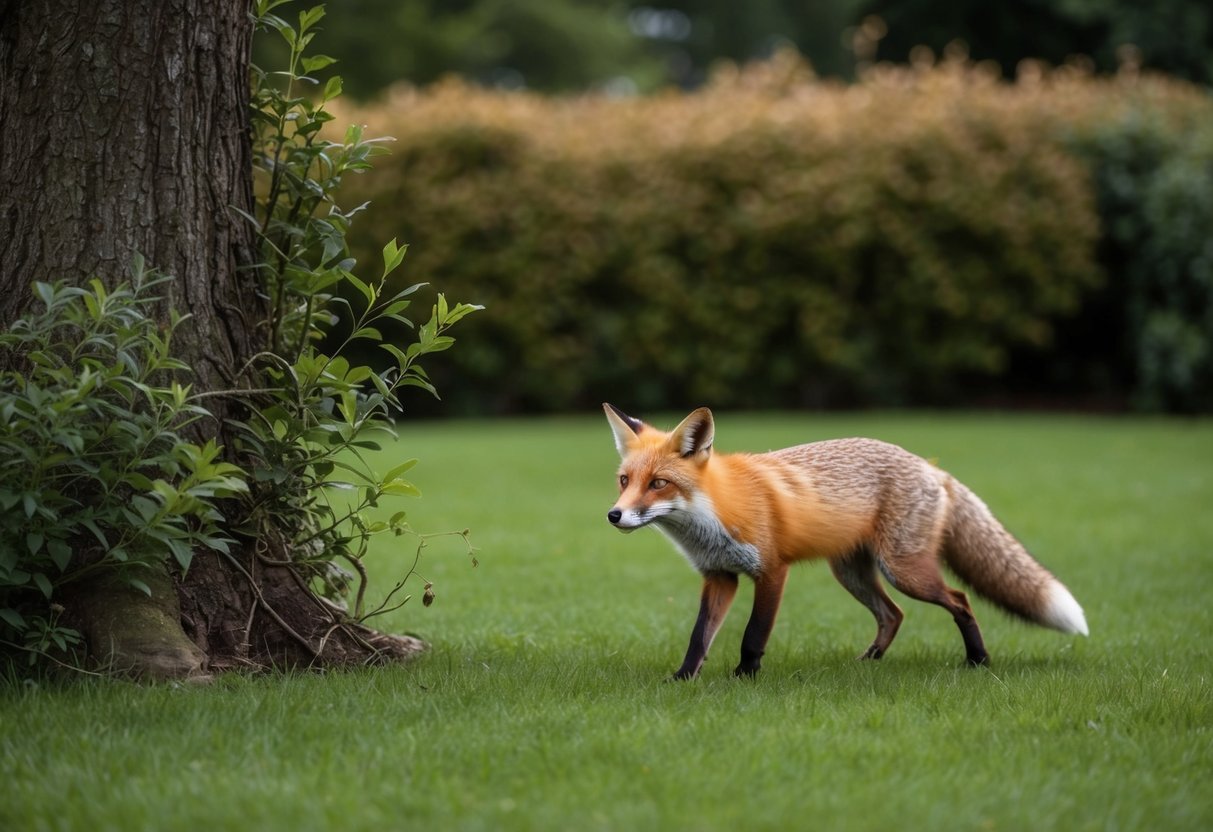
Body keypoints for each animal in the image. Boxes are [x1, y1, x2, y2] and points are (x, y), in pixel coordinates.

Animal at [603, 403, 1088, 679]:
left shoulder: (772, 571)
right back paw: (870, 662)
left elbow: (753, 633)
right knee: (893, 615)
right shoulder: (720, 575)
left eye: (659, 483)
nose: (615, 515)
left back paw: (978, 661)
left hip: (905, 571)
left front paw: (744, 676)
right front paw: (683, 679)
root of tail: (930, 466)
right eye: (625, 481)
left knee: (961, 600)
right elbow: (699, 636)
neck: (715, 512)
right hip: (852, 573)